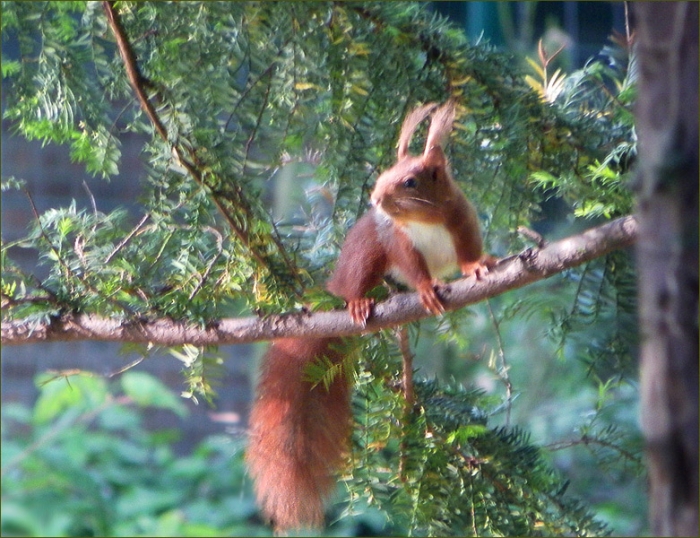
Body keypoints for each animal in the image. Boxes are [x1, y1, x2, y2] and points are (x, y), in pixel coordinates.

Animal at [246, 100, 494, 533]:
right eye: (383, 175)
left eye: (410, 181)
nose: (376, 199)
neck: (423, 220)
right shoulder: (396, 239)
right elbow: (413, 267)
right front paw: (425, 288)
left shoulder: (463, 222)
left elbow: (467, 252)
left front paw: (477, 266)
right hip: (365, 253)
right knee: (359, 283)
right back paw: (359, 303)